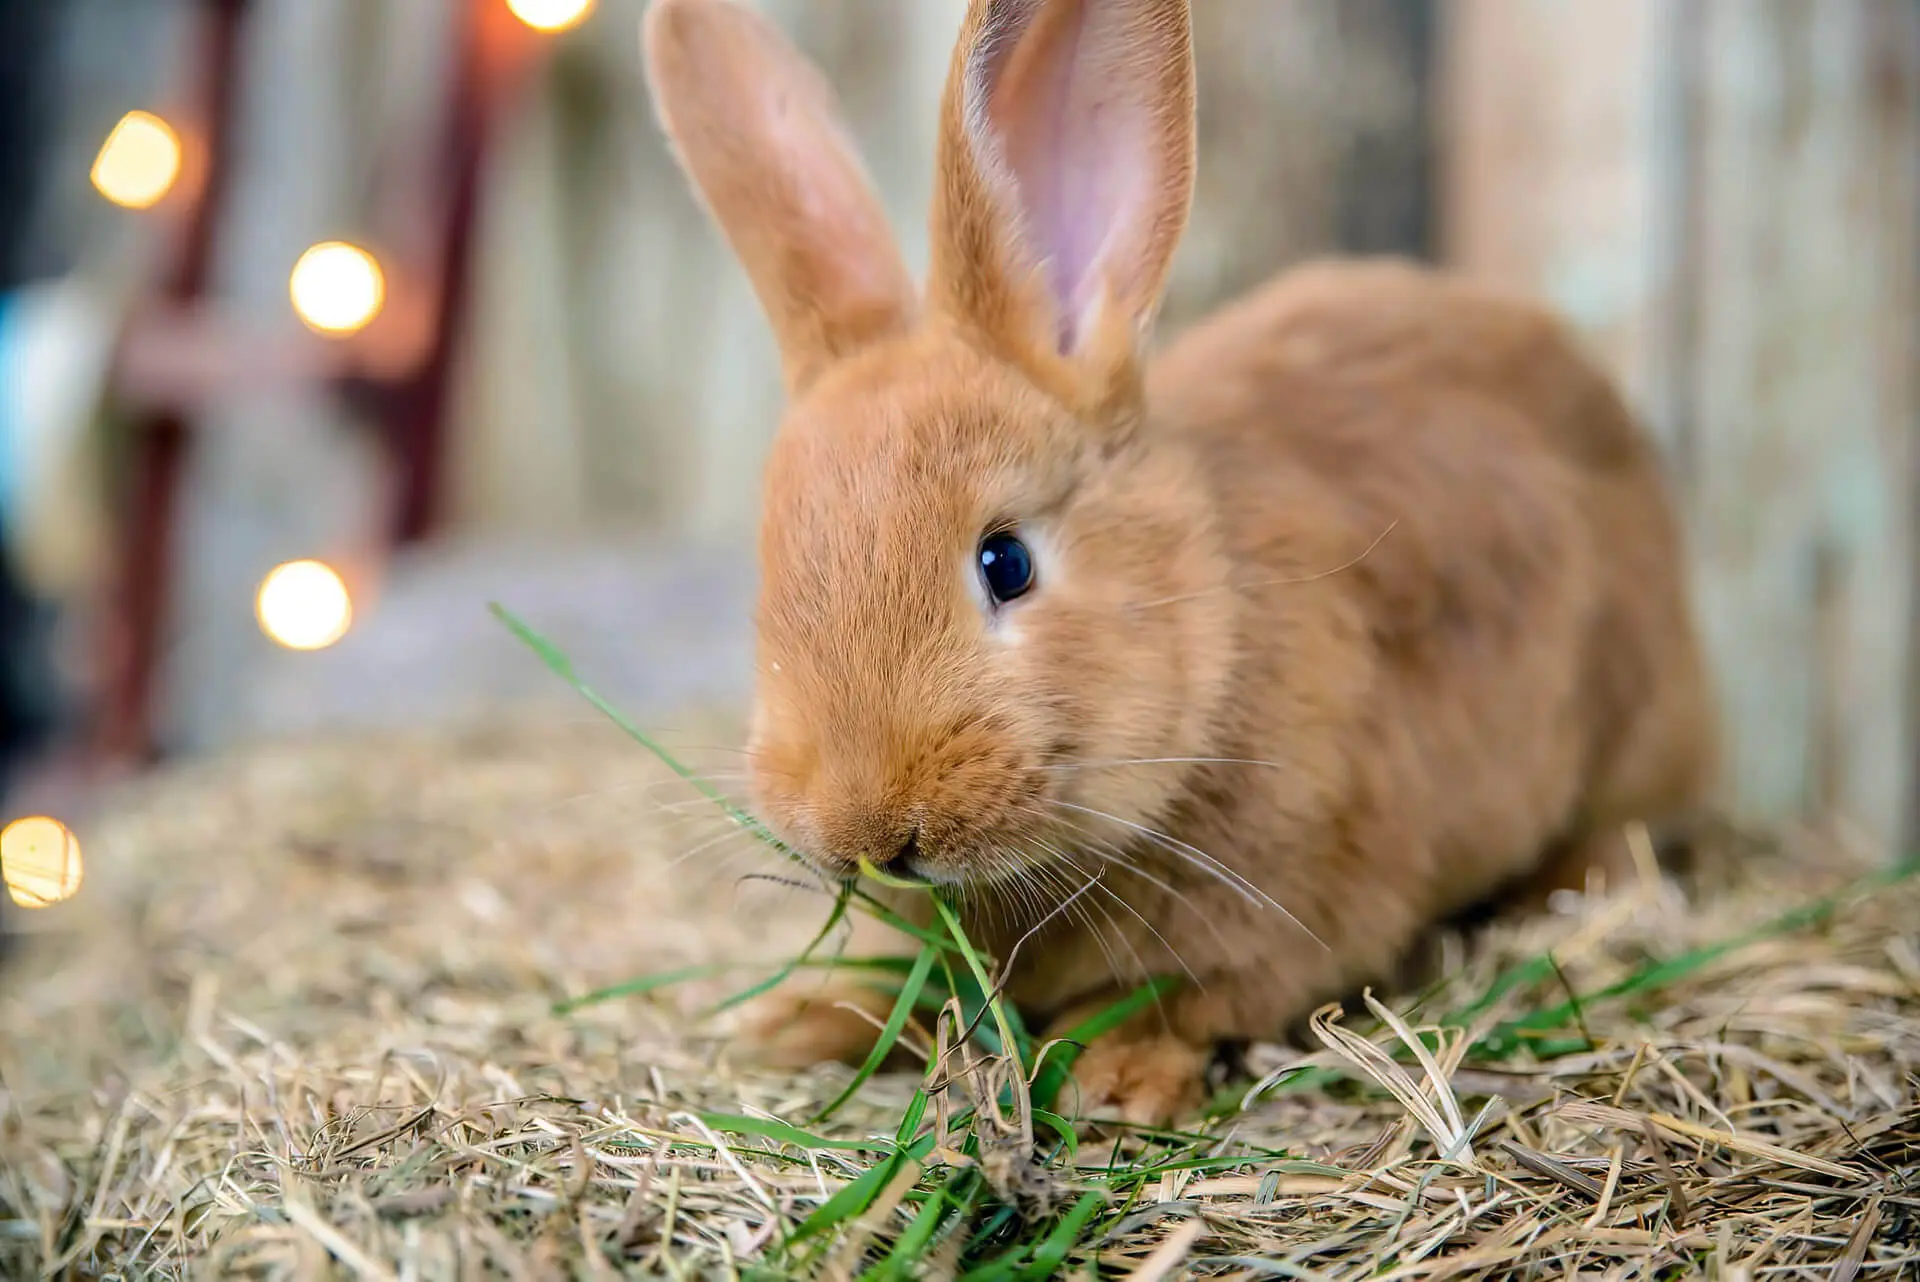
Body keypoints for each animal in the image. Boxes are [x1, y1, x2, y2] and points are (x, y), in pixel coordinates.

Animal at [637, 0, 1720, 1120]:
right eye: (770, 583)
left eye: (1006, 562)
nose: (867, 828)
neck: (1213, 626)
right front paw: (792, 1021)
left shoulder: (1302, 904)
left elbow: (1194, 997)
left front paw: (1115, 1079)